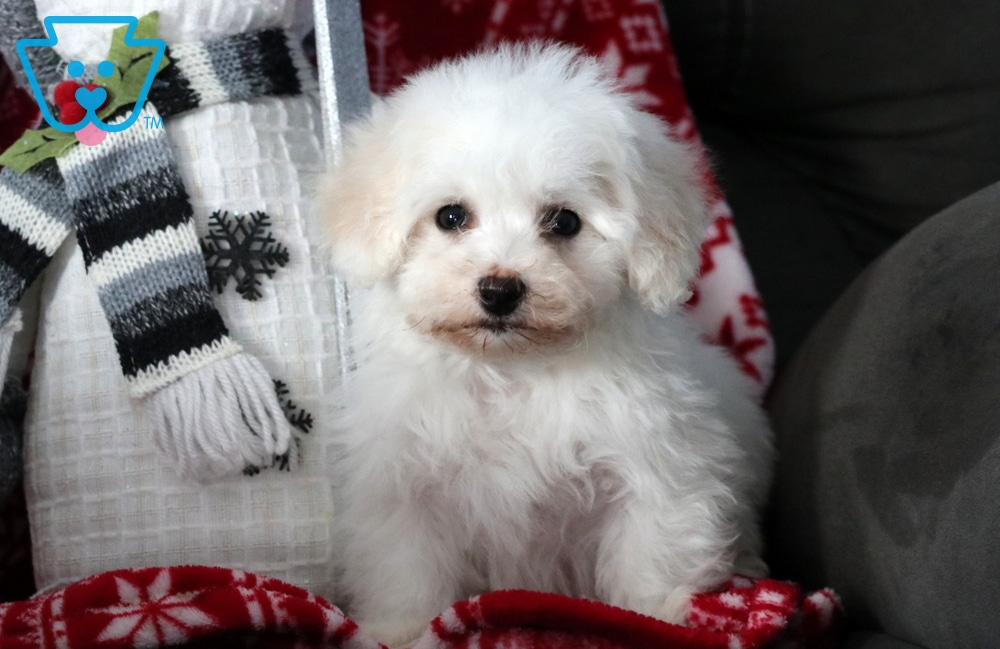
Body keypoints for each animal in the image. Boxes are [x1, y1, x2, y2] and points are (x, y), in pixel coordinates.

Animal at [318, 43, 774, 646]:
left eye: (564, 221)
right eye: (451, 216)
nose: (499, 290)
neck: (514, 371)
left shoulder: (657, 467)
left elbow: (651, 552)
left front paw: (653, 619)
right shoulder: (402, 484)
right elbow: (405, 566)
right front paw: (400, 627)